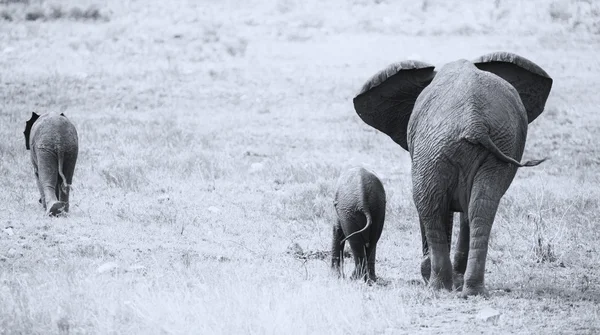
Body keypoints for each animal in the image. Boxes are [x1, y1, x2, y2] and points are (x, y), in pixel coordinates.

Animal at [352, 51, 552, 296]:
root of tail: (474, 121)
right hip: (490, 145)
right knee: (481, 205)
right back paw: (472, 291)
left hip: (436, 147)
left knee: (428, 202)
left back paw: (439, 286)